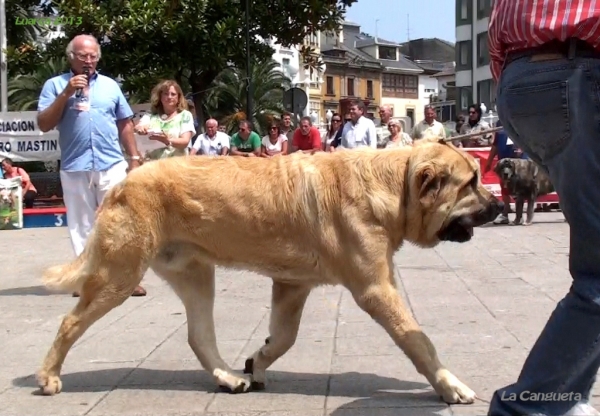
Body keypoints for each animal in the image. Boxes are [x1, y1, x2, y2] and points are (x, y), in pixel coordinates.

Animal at [37, 139, 502, 404]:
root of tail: (121, 183)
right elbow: (418, 340)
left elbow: (283, 337)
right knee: (69, 322)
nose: (499, 204)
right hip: (119, 275)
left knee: (199, 336)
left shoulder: (292, 286)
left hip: (195, 276)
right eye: (470, 182)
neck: (392, 187)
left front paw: (255, 363)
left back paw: (229, 378)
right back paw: (49, 377)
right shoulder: (375, 288)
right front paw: (449, 385)